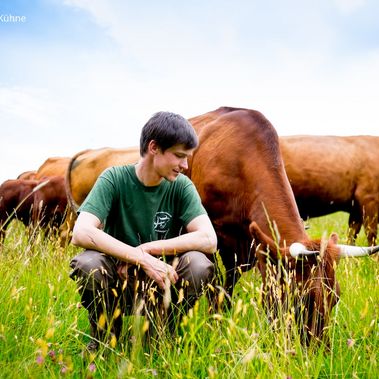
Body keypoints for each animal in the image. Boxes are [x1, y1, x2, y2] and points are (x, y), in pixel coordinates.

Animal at [188, 107, 379, 344]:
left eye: (335, 297)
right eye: (302, 298)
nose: (319, 350)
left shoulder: (252, 249)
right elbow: (217, 286)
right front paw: (215, 321)